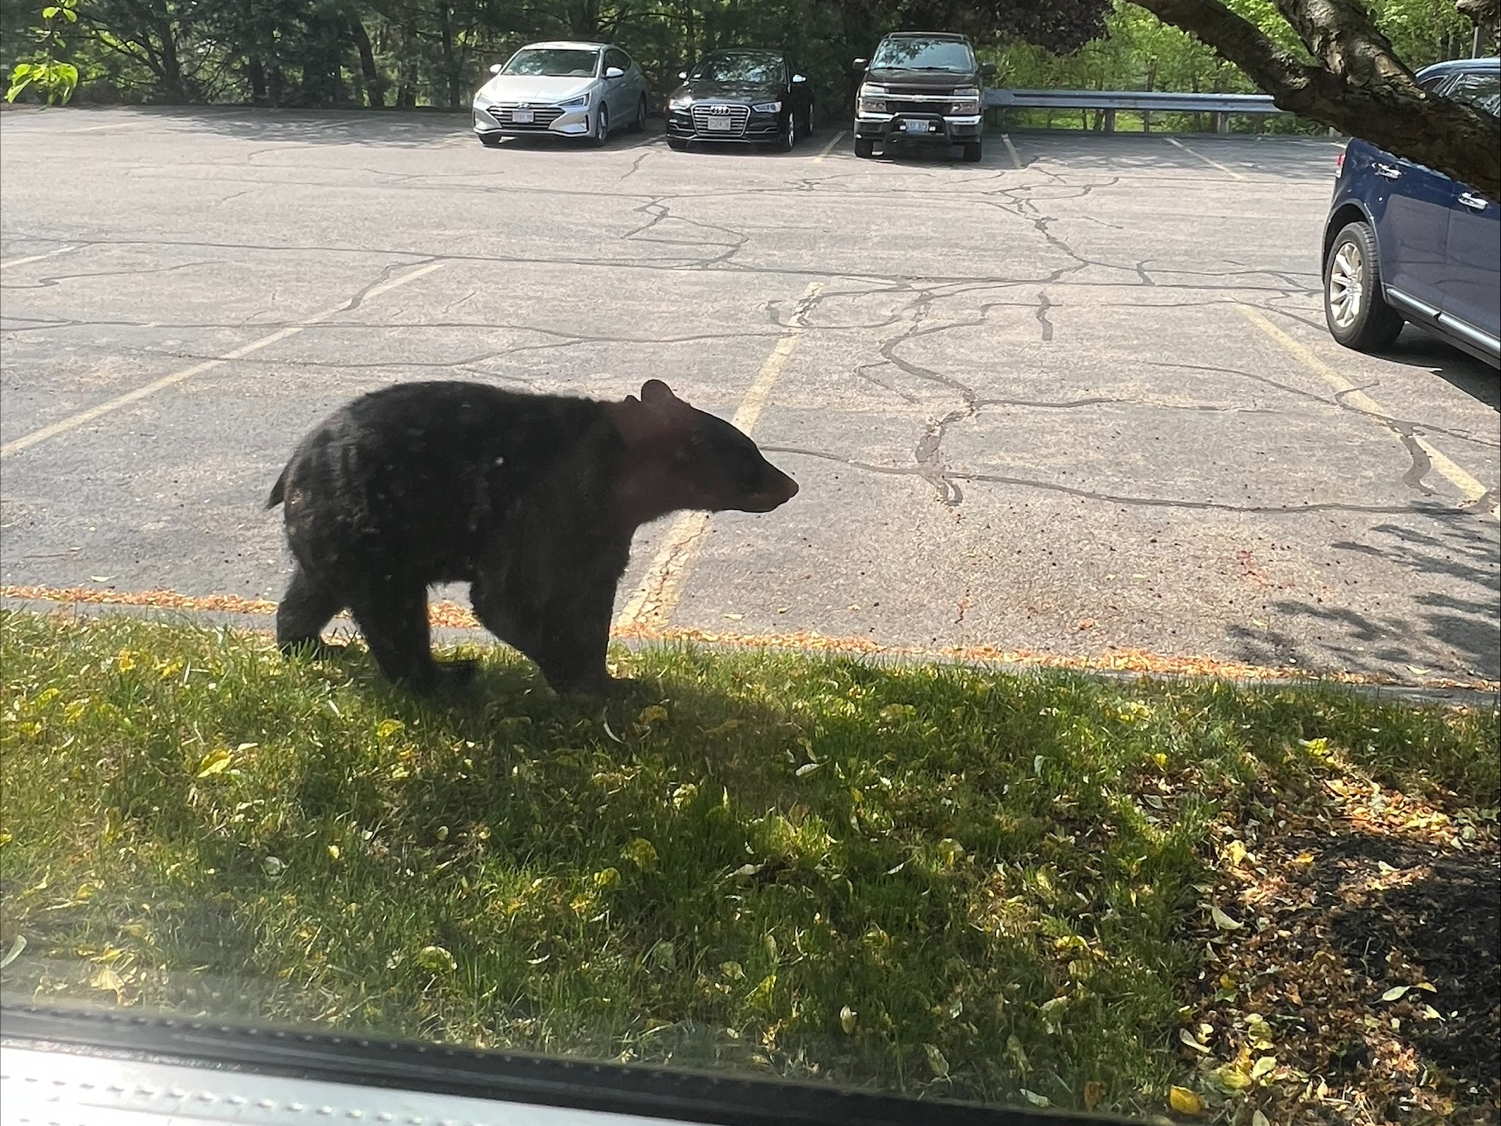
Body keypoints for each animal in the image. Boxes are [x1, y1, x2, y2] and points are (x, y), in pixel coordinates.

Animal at [270, 379, 810, 696]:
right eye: (748, 455)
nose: (791, 484)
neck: (620, 482)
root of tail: (292, 467)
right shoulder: (548, 506)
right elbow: (507, 598)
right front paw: (577, 679)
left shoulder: (601, 533)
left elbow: (590, 599)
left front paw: (605, 677)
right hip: (371, 529)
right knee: (392, 611)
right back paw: (441, 680)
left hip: (339, 535)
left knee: (312, 590)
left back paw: (307, 645)